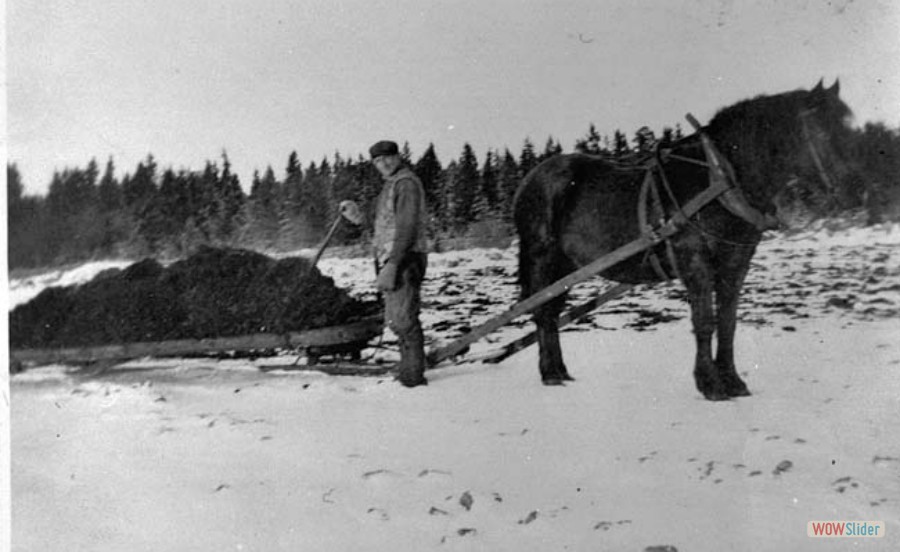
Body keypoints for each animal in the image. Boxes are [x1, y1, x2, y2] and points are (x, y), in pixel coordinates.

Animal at [512, 80, 856, 398]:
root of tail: (531, 177)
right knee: (543, 313)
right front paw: (710, 384)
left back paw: (560, 370)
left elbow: (728, 321)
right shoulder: (695, 260)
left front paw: (733, 381)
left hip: (565, 267)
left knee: (552, 311)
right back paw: (550, 373)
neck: (720, 181)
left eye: (848, 127)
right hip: (542, 257)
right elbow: (704, 321)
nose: (853, 188)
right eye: (824, 131)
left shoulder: (736, 262)